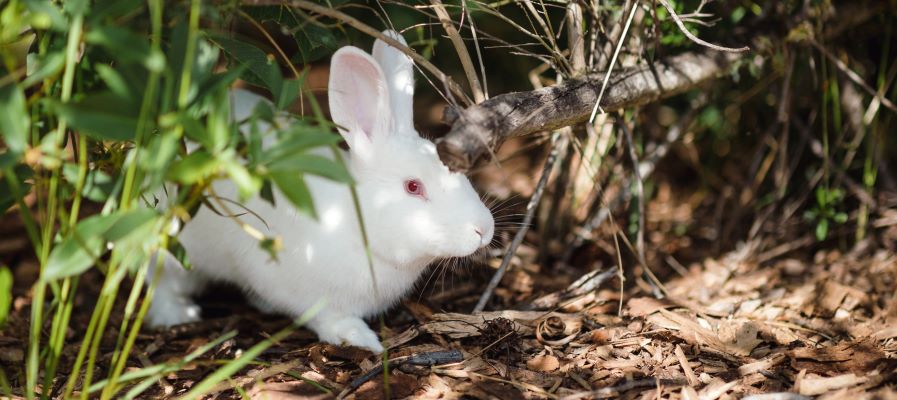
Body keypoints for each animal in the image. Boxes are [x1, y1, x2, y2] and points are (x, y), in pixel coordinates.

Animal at [149, 29, 496, 352]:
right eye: (413, 186)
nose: (483, 229)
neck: (354, 222)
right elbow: (325, 317)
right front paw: (360, 339)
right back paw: (176, 314)